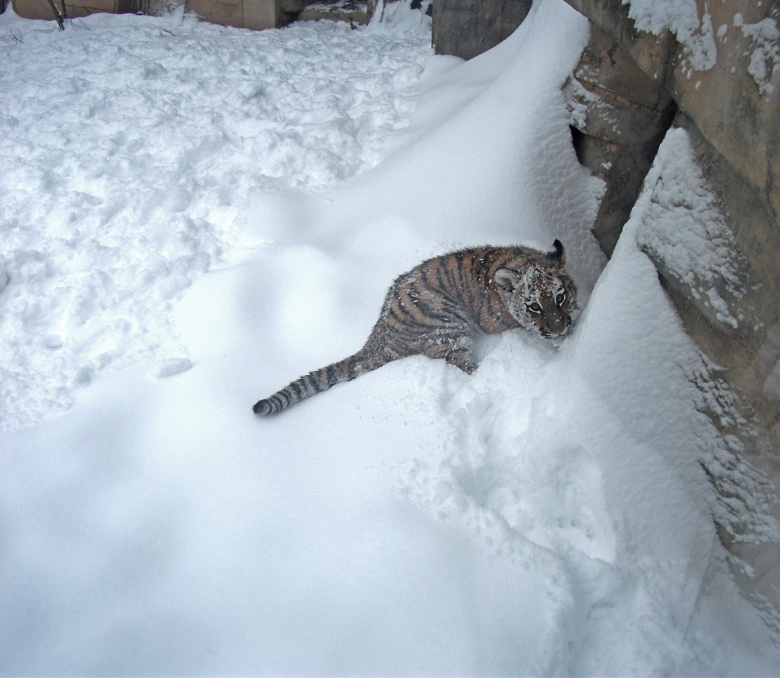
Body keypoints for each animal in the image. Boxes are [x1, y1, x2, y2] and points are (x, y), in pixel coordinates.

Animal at [253, 242, 576, 418]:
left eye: (560, 297)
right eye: (534, 307)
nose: (561, 329)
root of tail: (380, 332)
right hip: (449, 329)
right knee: (465, 369)